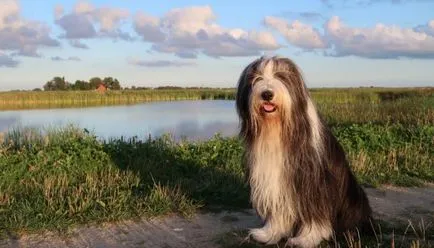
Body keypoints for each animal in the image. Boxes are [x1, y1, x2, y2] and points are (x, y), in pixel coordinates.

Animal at [236, 56, 372, 248]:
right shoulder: (274, 180)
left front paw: (306, 238)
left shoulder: (313, 183)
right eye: (256, 78)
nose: (267, 94)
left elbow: (314, 213)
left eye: (281, 76)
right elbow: (278, 211)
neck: (279, 130)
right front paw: (269, 233)